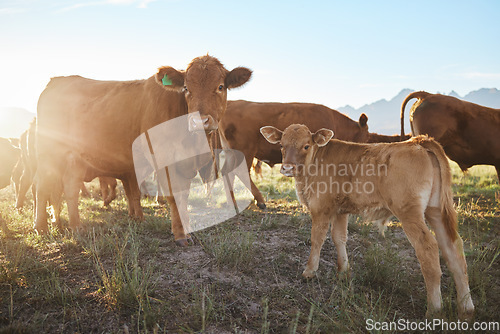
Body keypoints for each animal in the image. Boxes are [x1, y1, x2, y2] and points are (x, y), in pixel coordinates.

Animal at [34, 54, 250, 245]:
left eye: (220, 86)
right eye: (186, 88)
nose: (199, 121)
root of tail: (56, 81)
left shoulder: (184, 165)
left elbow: (182, 196)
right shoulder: (163, 158)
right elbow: (173, 196)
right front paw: (180, 235)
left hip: (73, 160)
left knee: (68, 187)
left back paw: (72, 225)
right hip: (47, 155)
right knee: (43, 188)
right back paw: (42, 227)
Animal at [219, 100, 372, 209]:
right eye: (366, 137)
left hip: (231, 153)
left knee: (227, 172)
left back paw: (231, 203)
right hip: (245, 152)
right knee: (240, 172)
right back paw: (260, 201)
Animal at [262, 124, 476, 320]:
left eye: (306, 146)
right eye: (281, 145)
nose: (287, 167)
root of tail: (418, 142)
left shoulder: (321, 208)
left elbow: (317, 239)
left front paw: (309, 271)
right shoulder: (340, 211)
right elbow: (339, 238)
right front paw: (343, 272)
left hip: (410, 213)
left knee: (428, 248)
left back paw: (434, 309)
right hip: (436, 210)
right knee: (453, 249)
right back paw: (466, 307)